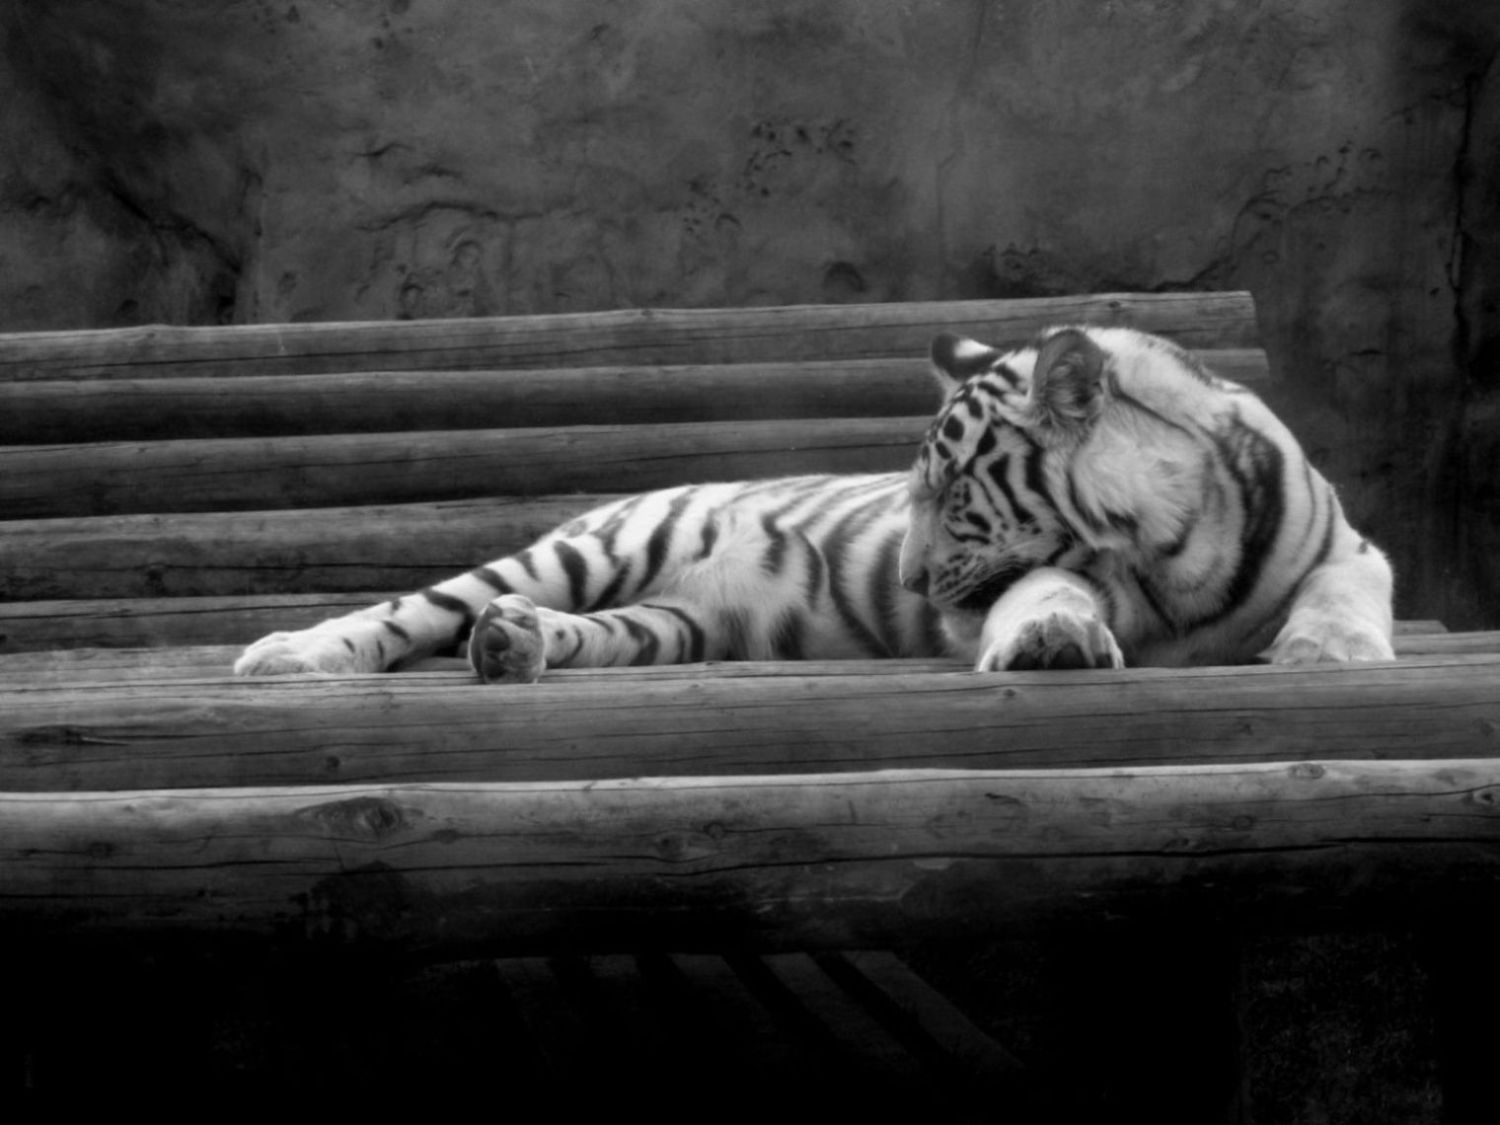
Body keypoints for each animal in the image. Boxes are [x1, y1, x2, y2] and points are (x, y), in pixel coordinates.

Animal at [233, 325, 1395, 681]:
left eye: (953, 494)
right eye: (918, 494)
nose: (917, 577)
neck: (1169, 544)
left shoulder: (1349, 544)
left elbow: (1348, 589)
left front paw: (1327, 650)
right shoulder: (1033, 573)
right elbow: (1046, 592)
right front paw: (1054, 638)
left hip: (674, 624)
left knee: (581, 633)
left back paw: (515, 646)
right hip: (586, 550)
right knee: (409, 610)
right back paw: (288, 654)